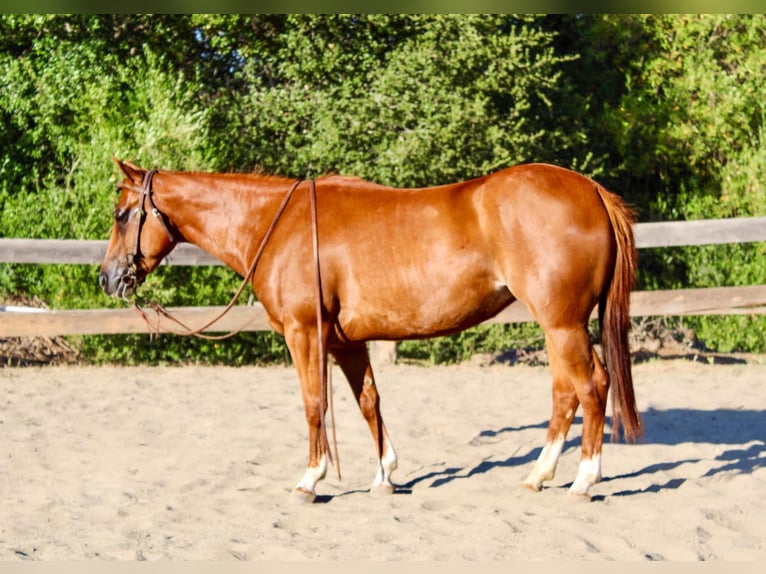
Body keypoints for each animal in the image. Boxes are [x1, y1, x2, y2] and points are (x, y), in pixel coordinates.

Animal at [100, 159, 640, 504]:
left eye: (122, 215)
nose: (108, 278)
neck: (279, 227)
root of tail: (591, 191)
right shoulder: (346, 342)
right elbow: (368, 403)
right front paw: (385, 475)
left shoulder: (304, 335)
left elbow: (314, 404)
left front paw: (311, 479)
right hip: (556, 326)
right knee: (565, 393)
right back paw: (539, 475)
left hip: (562, 323)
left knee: (592, 387)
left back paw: (584, 481)